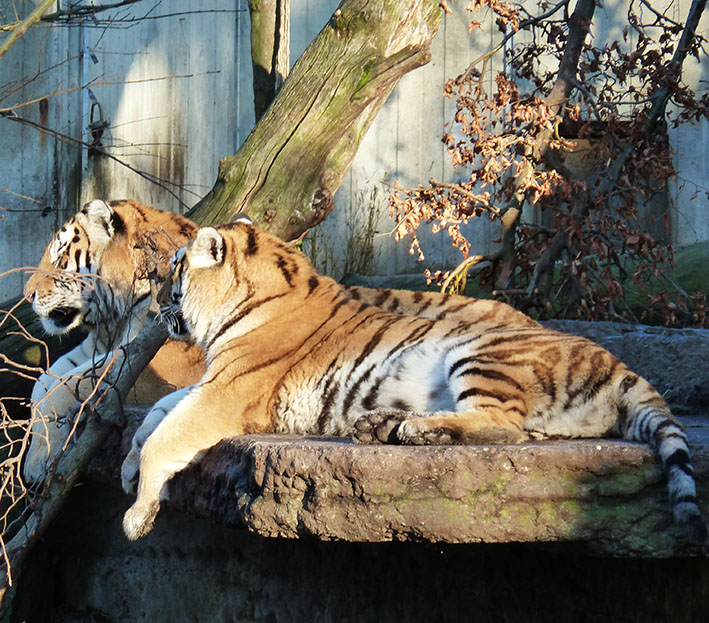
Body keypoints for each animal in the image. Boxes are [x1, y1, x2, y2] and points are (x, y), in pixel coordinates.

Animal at [26, 197, 536, 486]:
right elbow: (44, 380)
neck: (113, 318)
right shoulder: (94, 348)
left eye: (60, 255)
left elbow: (64, 386)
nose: (28, 294)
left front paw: (35, 465)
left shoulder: (158, 364)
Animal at [120, 222, 704, 544]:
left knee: (503, 427)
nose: (154, 302)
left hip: (480, 352)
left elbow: (167, 435)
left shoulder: (226, 391)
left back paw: (406, 431)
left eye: (176, 269)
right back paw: (389, 425)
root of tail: (621, 364)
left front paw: (137, 516)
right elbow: (155, 417)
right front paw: (128, 467)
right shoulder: (213, 382)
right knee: (507, 428)